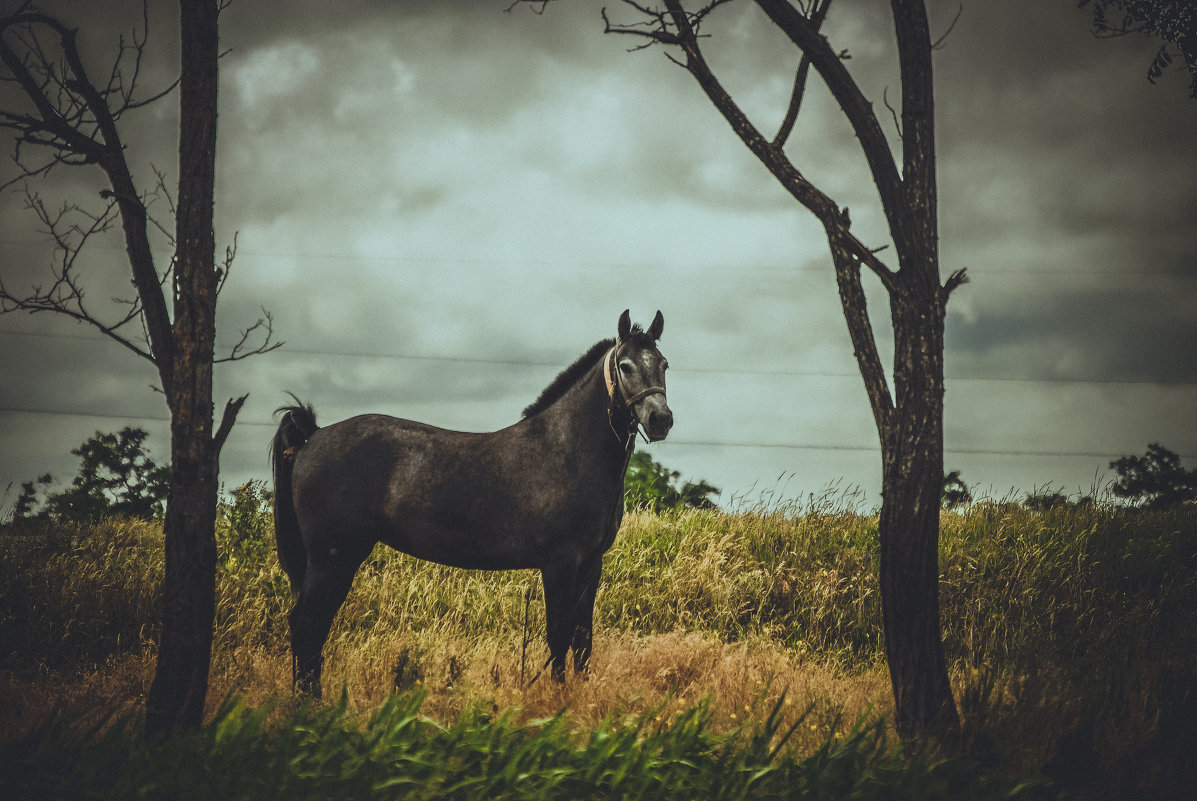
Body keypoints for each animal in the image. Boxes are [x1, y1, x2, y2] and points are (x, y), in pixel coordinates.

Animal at [272, 308, 679, 694]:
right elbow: (559, 636)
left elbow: (582, 639)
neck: (567, 450)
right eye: (625, 365)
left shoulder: (591, 564)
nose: (660, 419)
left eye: (663, 364)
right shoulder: (560, 563)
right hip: (333, 557)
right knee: (307, 627)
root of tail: (313, 437)